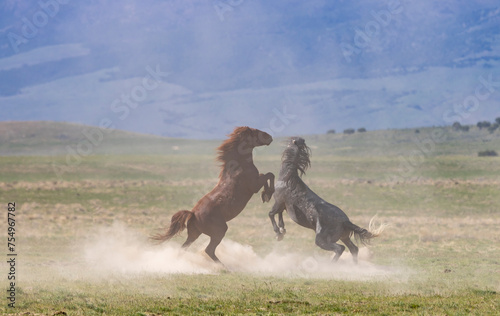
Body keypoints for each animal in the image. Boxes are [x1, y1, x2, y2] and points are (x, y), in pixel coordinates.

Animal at [152, 126, 278, 264]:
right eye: (254, 131)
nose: (270, 137)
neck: (239, 165)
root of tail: (193, 214)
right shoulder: (254, 185)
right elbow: (269, 174)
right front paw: (267, 194)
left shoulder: (257, 181)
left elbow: (266, 175)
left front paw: (266, 194)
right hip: (219, 230)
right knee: (209, 250)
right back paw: (225, 267)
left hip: (194, 234)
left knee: (184, 248)